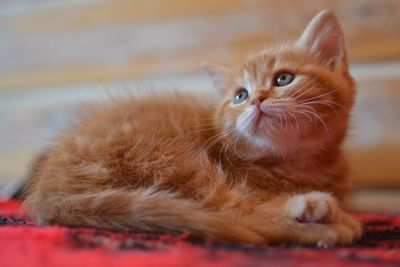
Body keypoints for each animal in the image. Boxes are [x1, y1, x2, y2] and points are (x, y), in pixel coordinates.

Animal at [25, 12, 362, 247]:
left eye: (283, 79)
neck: (300, 166)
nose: (256, 99)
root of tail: (47, 191)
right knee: (230, 210)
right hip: (168, 157)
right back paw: (321, 220)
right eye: (240, 96)